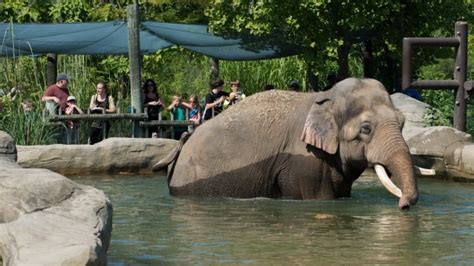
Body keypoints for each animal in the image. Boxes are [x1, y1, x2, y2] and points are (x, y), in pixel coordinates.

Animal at [154, 77, 420, 210]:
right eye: (366, 129)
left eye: (403, 123)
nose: (403, 206)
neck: (324, 97)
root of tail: (183, 142)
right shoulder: (303, 163)